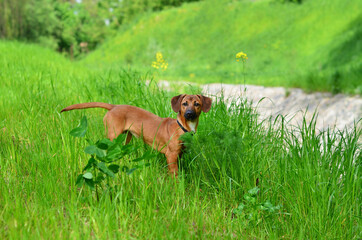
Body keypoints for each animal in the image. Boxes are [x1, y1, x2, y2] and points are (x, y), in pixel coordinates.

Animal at [60, 94, 211, 176]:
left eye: (197, 104)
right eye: (184, 104)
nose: (189, 114)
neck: (182, 127)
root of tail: (114, 106)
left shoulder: (180, 154)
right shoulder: (171, 155)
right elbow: (174, 175)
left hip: (126, 137)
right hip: (113, 136)